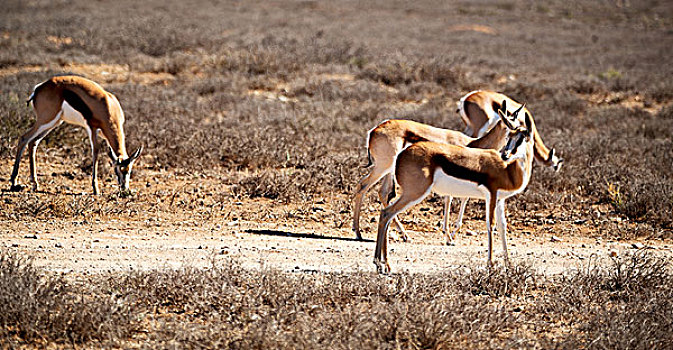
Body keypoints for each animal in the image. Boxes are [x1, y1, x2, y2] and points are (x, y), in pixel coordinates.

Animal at [7, 75, 142, 196]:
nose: (124, 189)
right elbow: (96, 151)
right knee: (24, 138)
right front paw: (96, 189)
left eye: (129, 170)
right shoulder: (92, 129)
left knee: (33, 142)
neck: (108, 107)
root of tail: (38, 88)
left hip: (54, 123)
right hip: (46, 120)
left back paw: (34, 183)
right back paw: (14, 182)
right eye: (118, 169)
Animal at [372, 109, 536, 274]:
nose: (504, 155)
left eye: (522, 139)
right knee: (386, 213)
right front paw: (490, 264)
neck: (507, 170)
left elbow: (502, 227)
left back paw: (385, 264)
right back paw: (380, 263)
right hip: (414, 193)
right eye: (509, 137)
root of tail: (400, 156)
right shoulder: (491, 195)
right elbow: (491, 225)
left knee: (386, 212)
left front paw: (508, 265)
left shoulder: (500, 199)